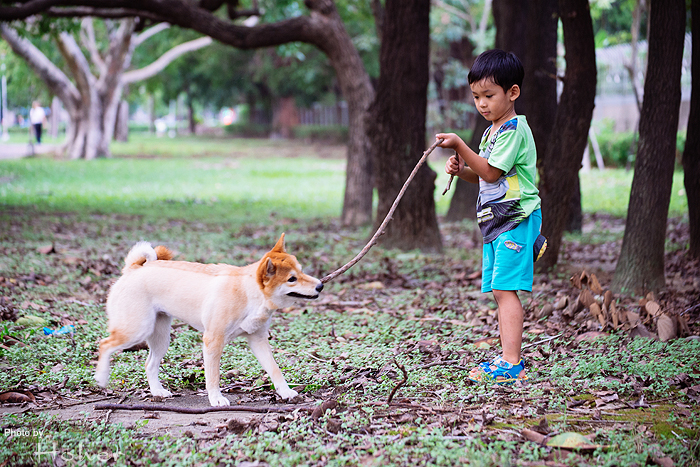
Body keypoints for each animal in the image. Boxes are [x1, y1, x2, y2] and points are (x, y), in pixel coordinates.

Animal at [94, 234, 324, 406]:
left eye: (301, 270)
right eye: (292, 279)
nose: (321, 285)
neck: (247, 293)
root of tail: (134, 268)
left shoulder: (258, 340)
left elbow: (275, 370)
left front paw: (286, 392)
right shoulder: (213, 341)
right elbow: (213, 376)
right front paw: (216, 398)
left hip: (161, 339)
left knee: (149, 364)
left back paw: (158, 391)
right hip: (136, 330)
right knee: (104, 344)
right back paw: (101, 377)